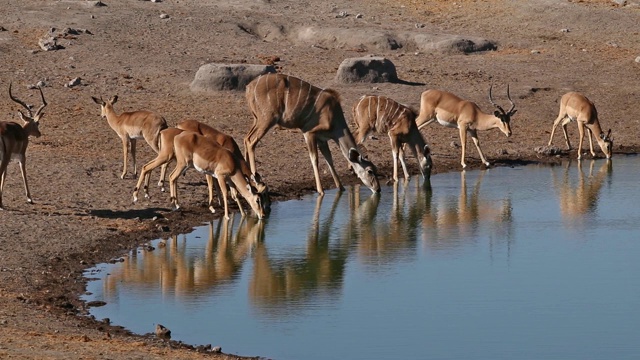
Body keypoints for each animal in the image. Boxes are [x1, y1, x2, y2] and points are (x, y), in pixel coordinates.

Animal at [244, 73, 380, 195]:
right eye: (370, 171)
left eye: (376, 169)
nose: (378, 189)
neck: (334, 117)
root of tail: (249, 87)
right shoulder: (309, 132)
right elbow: (315, 159)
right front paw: (320, 190)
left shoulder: (322, 139)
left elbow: (329, 160)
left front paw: (341, 187)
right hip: (267, 119)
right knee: (251, 141)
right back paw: (257, 180)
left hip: (257, 119)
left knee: (246, 138)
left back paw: (248, 177)